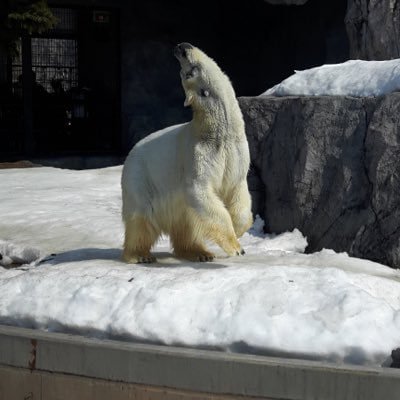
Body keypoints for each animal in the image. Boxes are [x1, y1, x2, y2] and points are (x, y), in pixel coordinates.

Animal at [122, 43, 253, 262]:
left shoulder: (236, 153)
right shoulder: (198, 154)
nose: (180, 47)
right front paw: (236, 247)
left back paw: (199, 252)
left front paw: (239, 229)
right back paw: (140, 254)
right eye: (187, 72)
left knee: (186, 221)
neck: (219, 132)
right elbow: (200, 189)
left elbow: (238, 187)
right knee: (141, 217)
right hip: (140, 177)